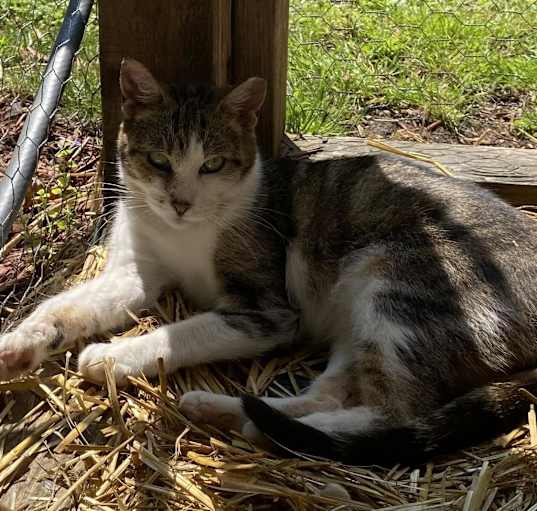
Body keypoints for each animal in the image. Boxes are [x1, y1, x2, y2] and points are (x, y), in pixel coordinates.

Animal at [1, 58, 536, 466]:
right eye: (158, 162)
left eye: (212, 165)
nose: (180, 203)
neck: (183, 234)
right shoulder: (134, 271)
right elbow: (65, 306)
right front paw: (22, 343)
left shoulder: (267, 310)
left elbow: (184, 333)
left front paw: (113, 357)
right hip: (359, 322)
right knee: (332, 393)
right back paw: (230, 412)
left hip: (395, 290)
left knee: (393, 415)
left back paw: (265, 428)